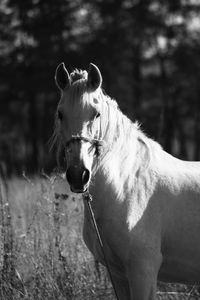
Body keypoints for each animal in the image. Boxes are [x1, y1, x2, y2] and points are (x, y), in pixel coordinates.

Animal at [52, 62, 200, 298]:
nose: (78, 174)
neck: (127, 189)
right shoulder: (118, 275)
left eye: (96, 114)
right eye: (60, 113)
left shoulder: (143, 271)